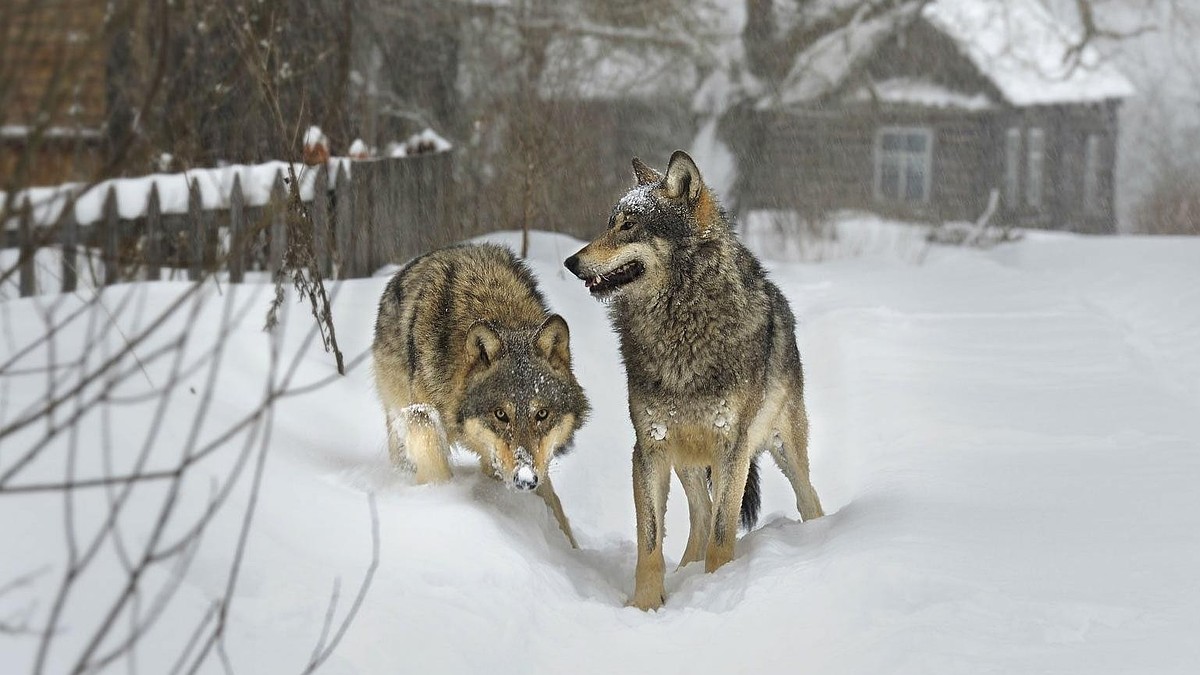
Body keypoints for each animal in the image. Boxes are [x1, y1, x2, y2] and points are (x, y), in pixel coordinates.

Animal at [369, 243, 585, 542]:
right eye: (500, 414)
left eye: (542, 414)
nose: (525, 480)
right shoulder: (421, 415)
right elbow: (434, 462)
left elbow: (553, 502)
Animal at [564, 149, 825, 607]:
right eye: (610, 222)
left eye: (629, 225)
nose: (571, 262)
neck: (679, 328)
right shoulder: (649, 448)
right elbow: (650, 543)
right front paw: (645, 605)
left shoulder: (732, 448)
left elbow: (723, 535)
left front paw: (718, 590)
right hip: (686, 459)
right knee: (700, 516)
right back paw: (686, 572)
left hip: (782, 449)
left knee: (807, 499)